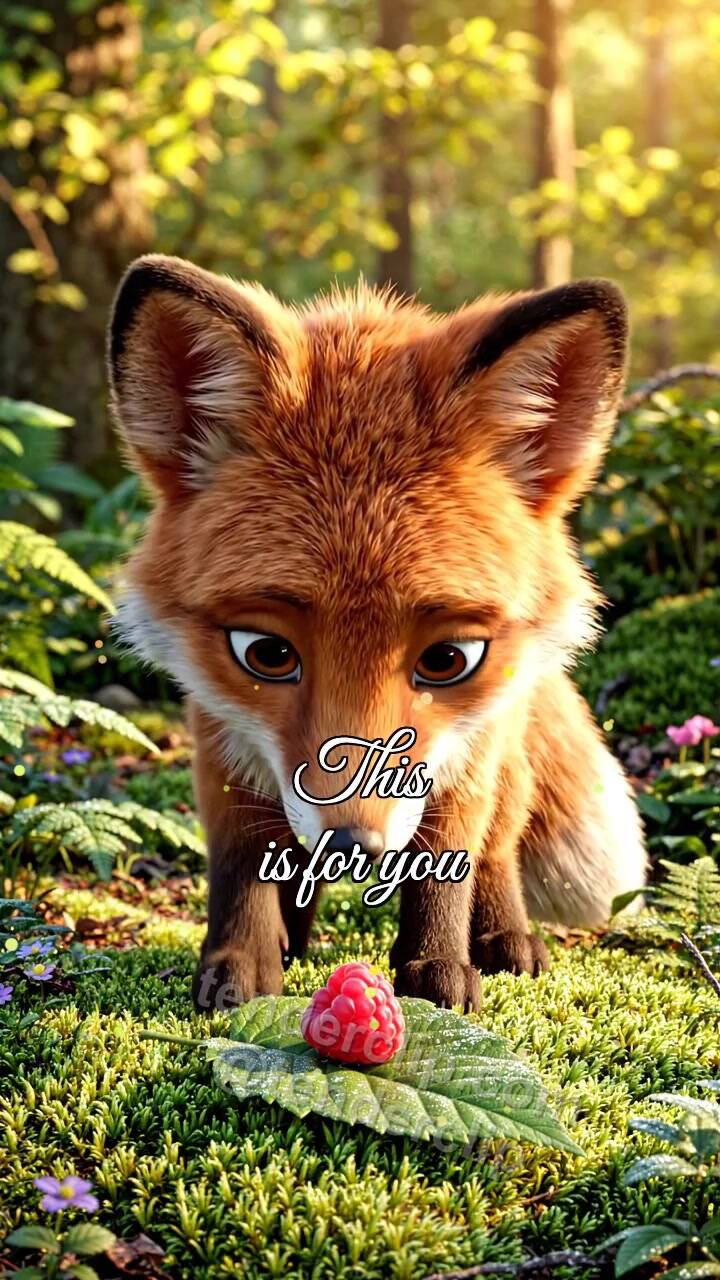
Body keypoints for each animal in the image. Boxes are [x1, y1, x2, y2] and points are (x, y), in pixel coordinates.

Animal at [107, 254, 647, 1013]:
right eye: (265, 653)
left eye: (450, 658)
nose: (351, 847)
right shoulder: (220, 731)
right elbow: (242, 859)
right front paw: (242, 962)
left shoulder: (465, 754)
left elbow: (448, 863)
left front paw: (437, 968)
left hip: (504, 748)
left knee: (500, 844)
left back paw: (506, 938)